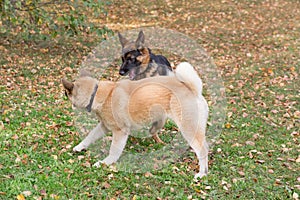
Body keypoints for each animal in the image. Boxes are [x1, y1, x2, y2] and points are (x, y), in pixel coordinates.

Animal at [61, 62, 209, 178]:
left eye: (67, 93)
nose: (64, 94)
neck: (97, 94)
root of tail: (192, 89)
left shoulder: (120, 132)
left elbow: (113, 151)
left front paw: (105, 163)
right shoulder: (104, 126)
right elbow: (90, 137)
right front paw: (79, 147)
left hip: (188, 128)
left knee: (202, 149)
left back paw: (201, 173)